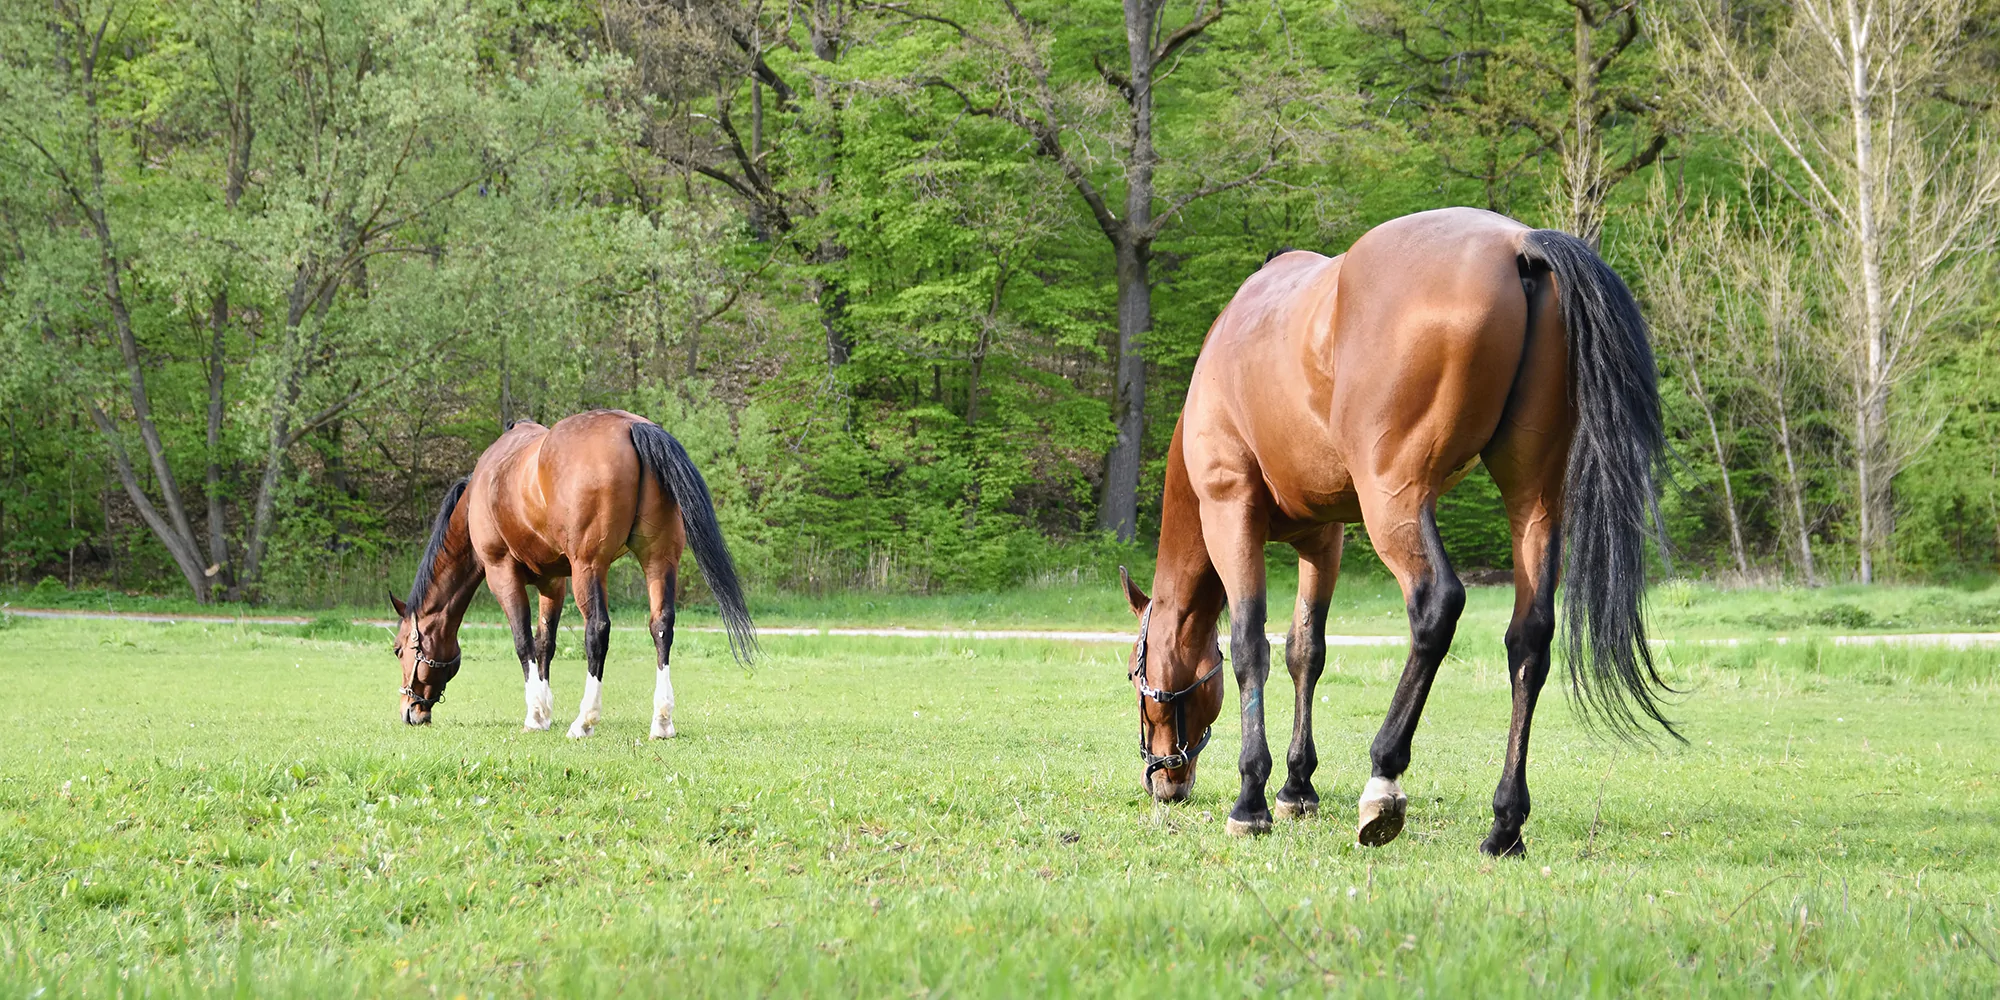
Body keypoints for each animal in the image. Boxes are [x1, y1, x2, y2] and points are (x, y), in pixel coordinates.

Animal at [389, 409, 756, 737]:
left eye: (398, 649)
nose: (410, 711)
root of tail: (632, 426)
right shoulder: (553, 582)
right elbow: (544, 643)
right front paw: (545, 710)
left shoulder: (502, 573)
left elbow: (523, 641)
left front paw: (535, 715)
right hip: (659, 559)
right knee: (661, 626)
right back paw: (662, 722)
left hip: (589, 567)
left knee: (597, 629)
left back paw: (585, 721)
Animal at [1122, 207, 1674, 857]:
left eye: (1134, 676)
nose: (1163, 780)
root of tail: (1520, 245)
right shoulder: (1323, 538)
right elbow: (1306, 651)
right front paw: (1296, 787)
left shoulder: (1231, 512)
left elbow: (1251, 646)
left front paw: (1253, 796)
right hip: (1533, 500)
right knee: (1530, 638)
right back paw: (1504, 823)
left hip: (1396, 500)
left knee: (1437, 605)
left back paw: (1384, 779)